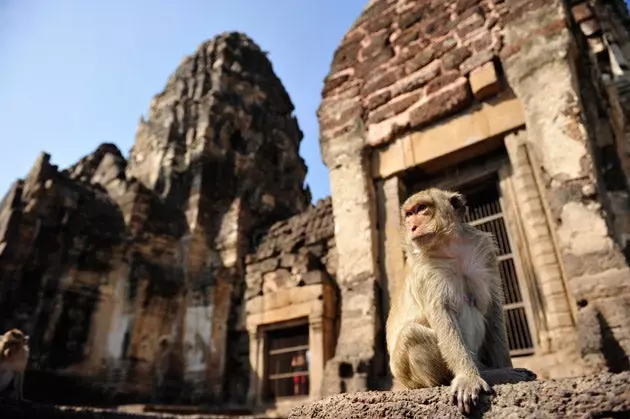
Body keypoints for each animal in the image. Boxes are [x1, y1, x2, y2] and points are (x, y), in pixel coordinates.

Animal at [386, 189, 540, 416]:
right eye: (409, 214)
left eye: (421, 209)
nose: (412, 226)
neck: (449, 248)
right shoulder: (426, 271)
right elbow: (443, 314)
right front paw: (469, 379)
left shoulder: (484, 252)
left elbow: (492, 308)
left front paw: (506, 367)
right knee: (410, 334)